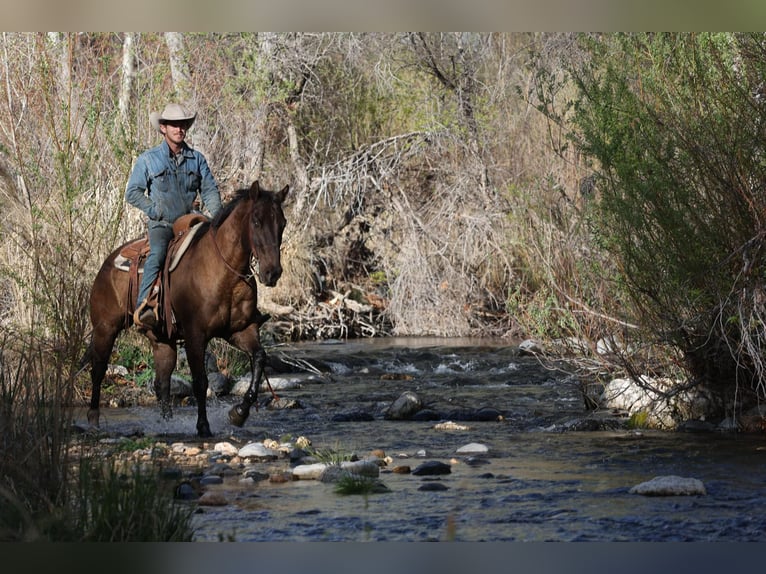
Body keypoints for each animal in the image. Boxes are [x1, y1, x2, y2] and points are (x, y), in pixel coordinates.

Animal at [83, 180, 289, 437]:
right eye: (256, 221)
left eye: (282, 223)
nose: (273, 272)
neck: (224, 271)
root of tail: (107, 263)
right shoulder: (195, 335)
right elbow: (200, 381)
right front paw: (203, 426)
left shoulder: (241, 331)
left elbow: (259, 359)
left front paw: (239, 413)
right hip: (105, 329)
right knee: (98, 370)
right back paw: (93, 420)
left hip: (162, 340)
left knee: (162, 383)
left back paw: (166, 423)